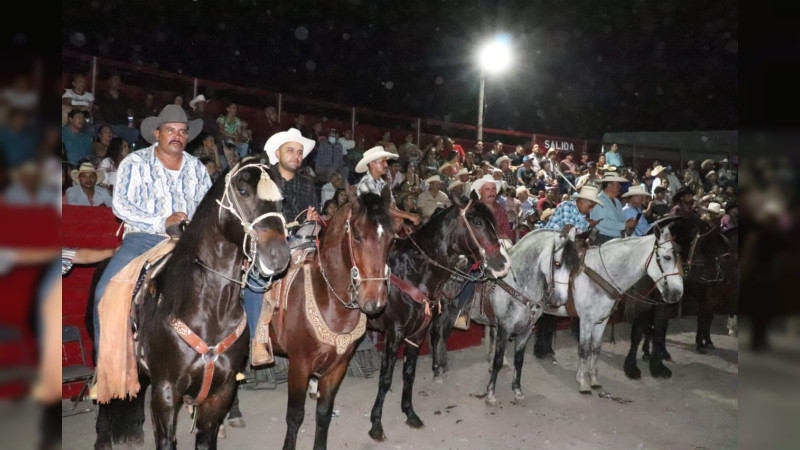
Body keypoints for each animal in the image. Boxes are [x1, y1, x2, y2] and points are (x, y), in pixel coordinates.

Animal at [94, 160, 290, 448]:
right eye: (242, 190)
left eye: (281, 198)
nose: (278, 255)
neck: (210, 311)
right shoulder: (165, 391)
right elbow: (166, 440)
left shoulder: (221, 391)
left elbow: (206, 438)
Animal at [268, 189, 394, 450]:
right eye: (357, 236)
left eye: (391, 239)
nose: (375, 301)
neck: (328, 299)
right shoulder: (299, 365)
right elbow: (295, 416)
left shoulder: (338, 366)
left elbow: (323, 414)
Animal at [366, 198, 510, 442]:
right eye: (478, 222)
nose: (503, 264)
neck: (411, 272)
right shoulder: (393, 334)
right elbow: (385, 379)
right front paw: (376, 424)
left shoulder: (416, 334)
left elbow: (409, 374)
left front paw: (410, 413)